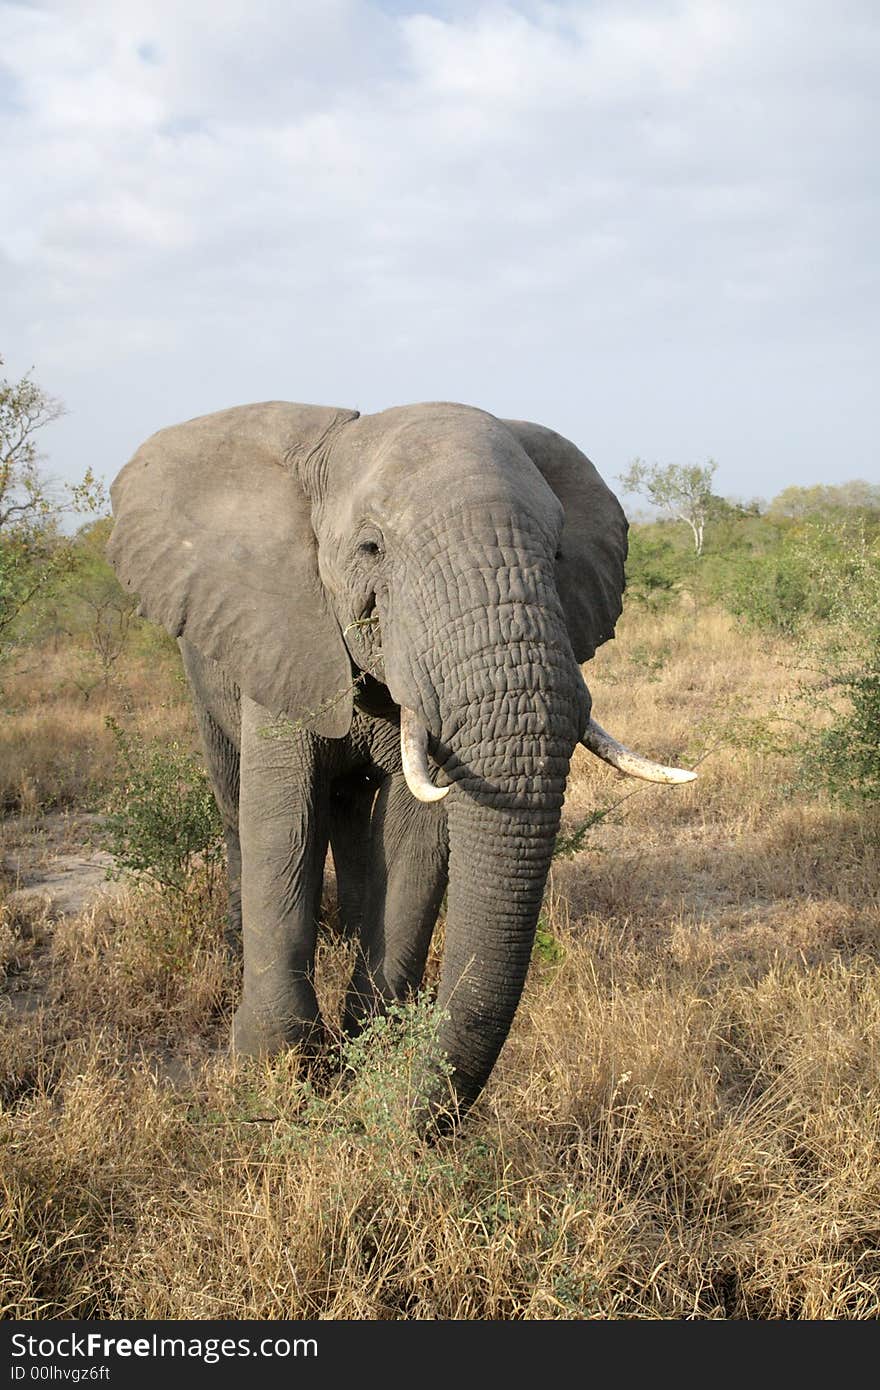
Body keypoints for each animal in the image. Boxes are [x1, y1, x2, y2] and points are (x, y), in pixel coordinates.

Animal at [106, 400, 689, 1128]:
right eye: (371, 548)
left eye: (557, 554)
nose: (401, 1124)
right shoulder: (283, 630)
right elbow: (282, 820)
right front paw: (274, 1071)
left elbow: (416, 834)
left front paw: (370, 1051)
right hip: (203, 664)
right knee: (236, 795)